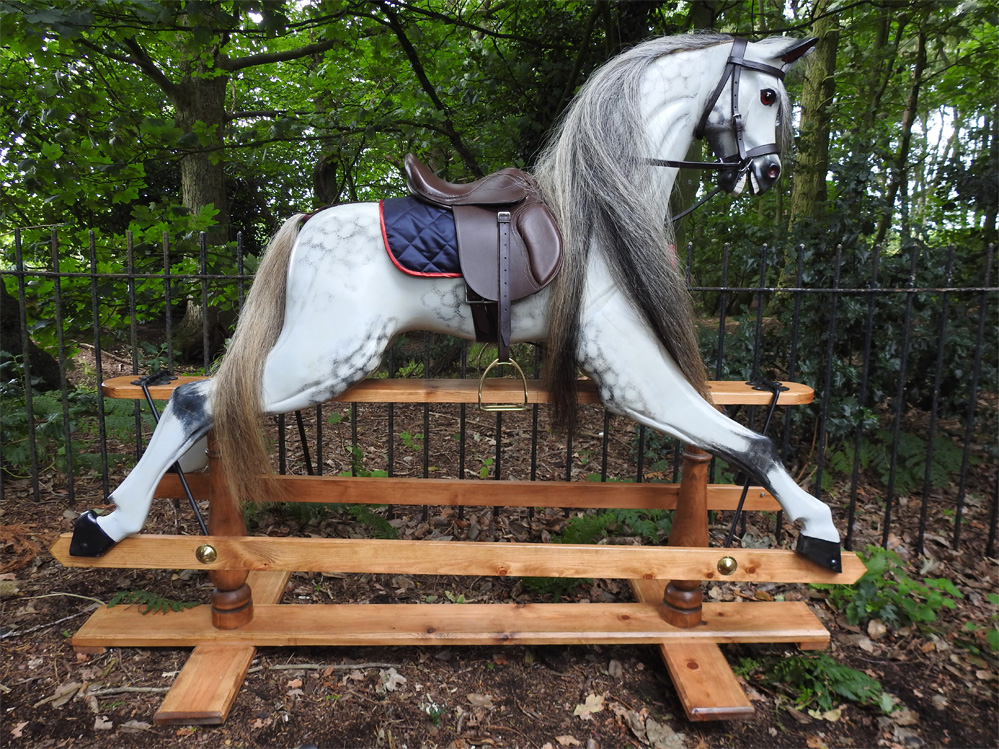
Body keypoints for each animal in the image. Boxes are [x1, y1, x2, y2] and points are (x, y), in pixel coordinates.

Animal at [70, 33, 843, 572]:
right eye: (769, 97)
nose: (770, 173)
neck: (602, 207)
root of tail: (307, 222)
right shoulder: (628, 370)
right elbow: (755, 442)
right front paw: (822, 530)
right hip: (322, 357)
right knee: (193, 397)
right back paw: (106, 524)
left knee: (207, 405)